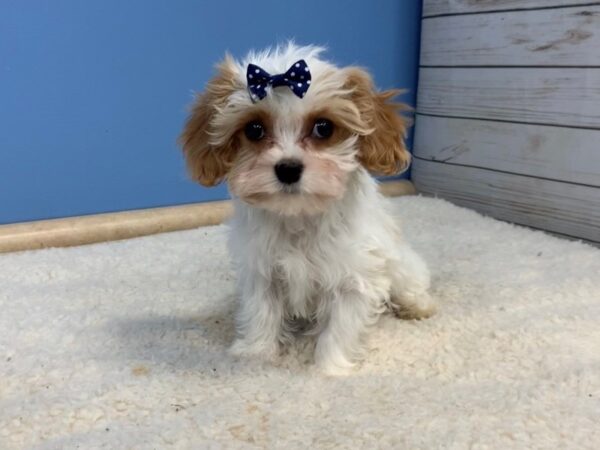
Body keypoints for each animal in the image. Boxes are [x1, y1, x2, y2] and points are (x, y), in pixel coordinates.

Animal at [179, 43, 436, 376]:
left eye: (323, 127)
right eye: (254, 129)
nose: (288, 168)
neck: (299, 218)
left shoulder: (354, 278)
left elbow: (340, 328)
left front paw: (329, 370)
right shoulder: (262, 271)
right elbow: (261, 313)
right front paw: (255, 355)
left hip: (401, 264)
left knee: (412, 283)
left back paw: (417, 306)